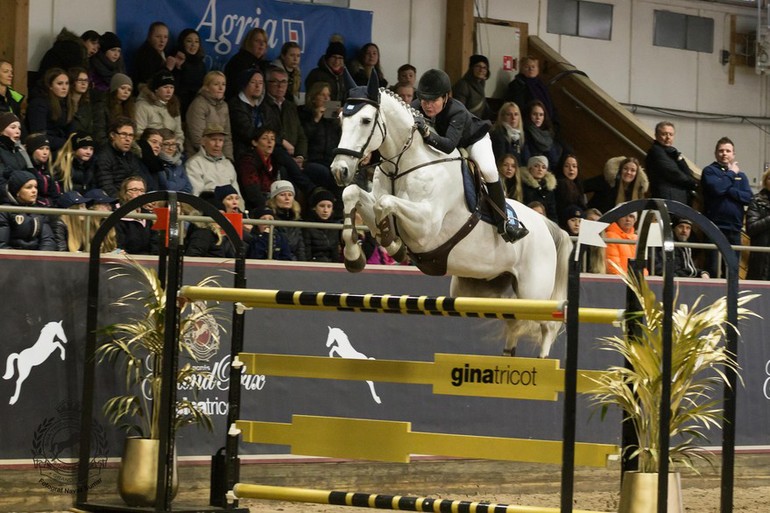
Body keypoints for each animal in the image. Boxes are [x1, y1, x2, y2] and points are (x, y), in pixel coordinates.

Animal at [330, 74, 568, 358]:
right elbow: (354, 194)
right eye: (341, 119)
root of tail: (547, 225)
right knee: (514, 324)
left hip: (534, 292)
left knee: (547, 325)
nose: (339, 170)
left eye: (366, 120)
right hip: (482, 288)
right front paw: (355, 255)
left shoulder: (426, 228)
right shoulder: (375, 201)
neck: (404, 165)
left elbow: (385, 204)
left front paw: (394, 245)